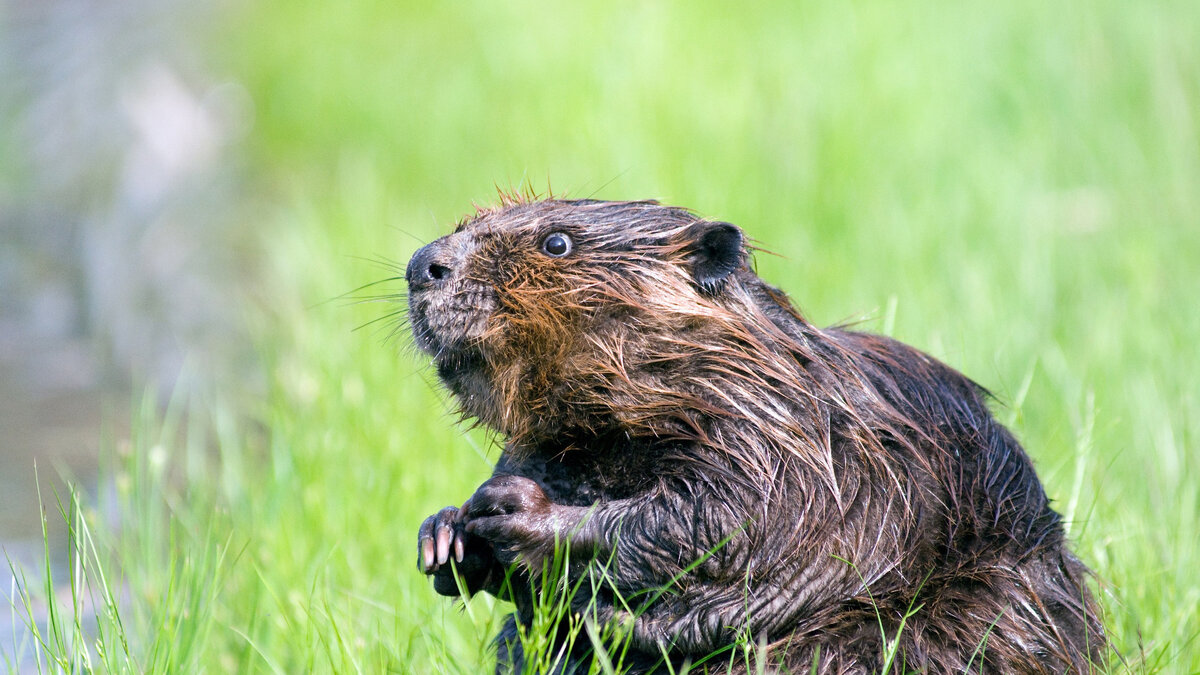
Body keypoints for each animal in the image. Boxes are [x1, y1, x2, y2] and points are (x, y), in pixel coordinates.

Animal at [410, 196, 1104, 667]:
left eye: (556, 243)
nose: (423, 264)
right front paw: (445, 534)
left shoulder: (789, 439)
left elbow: (721, 520)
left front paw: (515, 512)